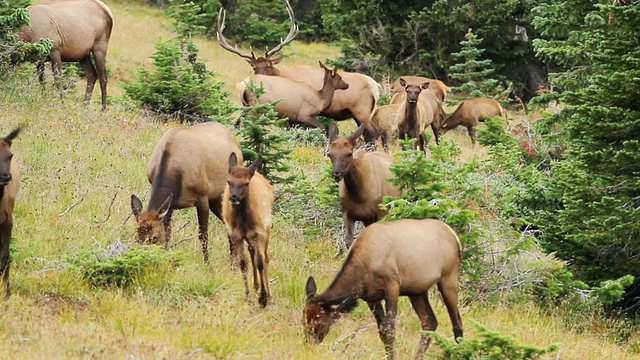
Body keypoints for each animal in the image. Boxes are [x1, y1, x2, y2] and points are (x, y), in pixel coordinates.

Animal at [130, 120, 242, 262]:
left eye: (154, 238)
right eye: (138, 236)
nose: (144, 258)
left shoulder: (202, 196)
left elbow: (203, 235)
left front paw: (206, 263)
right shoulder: (171, 203)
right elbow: (168, 232)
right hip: (214, 197)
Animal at [218, 0, 382, 143]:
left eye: (269, 65)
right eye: (254, 67)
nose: (257, 83)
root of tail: (376, 86)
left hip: (362, 110)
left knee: (373, 133)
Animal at [221, 153, 274, 308]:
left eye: (246, 183)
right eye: (229, 181)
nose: (233, 197)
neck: (244, 220)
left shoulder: (260, 232)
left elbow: (260, 262)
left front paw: (263, 297)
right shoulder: (236, 235)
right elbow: (243, 264)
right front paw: (249, 297)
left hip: (267, 231)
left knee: (265, 257)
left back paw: (269, 295)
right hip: (249, 237)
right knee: (252, 252)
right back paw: (256, 285)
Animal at [302, 218, 462, 358]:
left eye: (318, 319)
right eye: (304, 317)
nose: (309, 343)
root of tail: (454, 236)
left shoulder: (392, 285)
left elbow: (390, 329)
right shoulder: (371, 298)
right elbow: (382, 332)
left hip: (448, 278)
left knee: (457, 323)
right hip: (417, 291)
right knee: (430, 322)